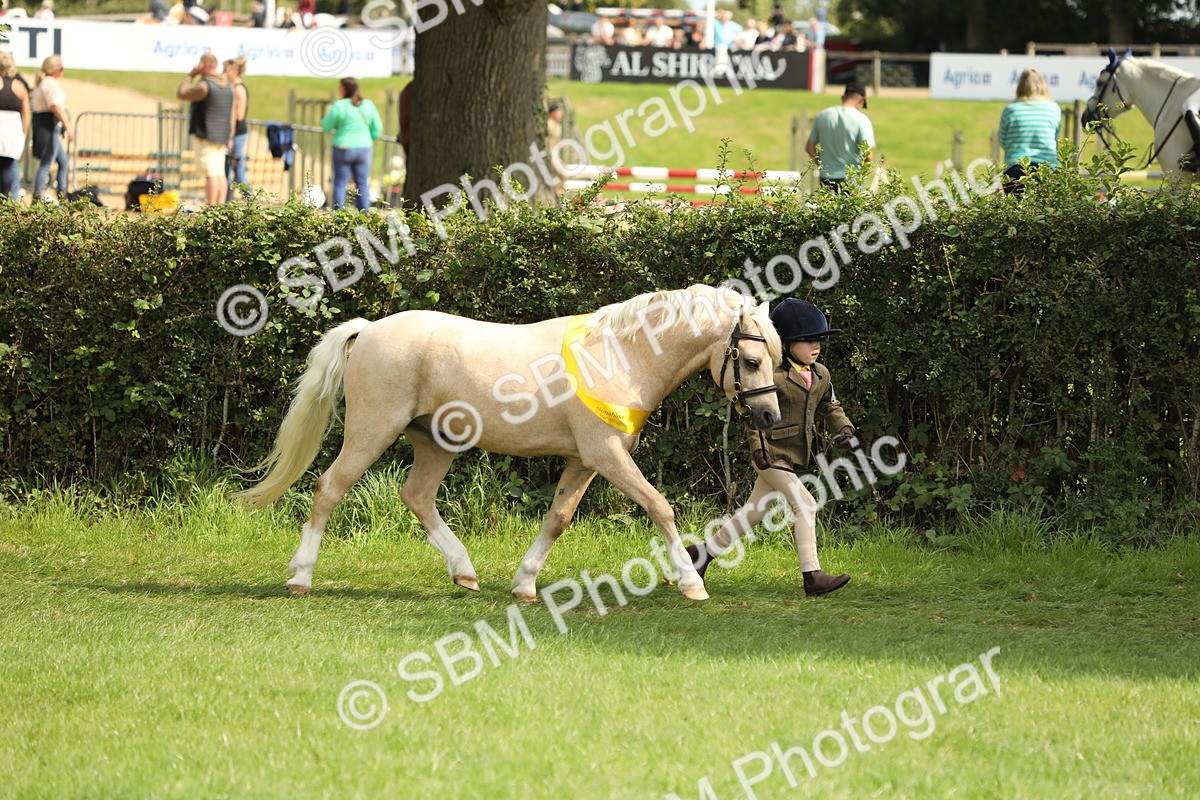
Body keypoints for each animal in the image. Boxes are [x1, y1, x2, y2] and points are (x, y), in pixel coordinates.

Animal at [233, 284, 783, 602]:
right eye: (752, 361)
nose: (770, 416)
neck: (621, 356)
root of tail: (368, 330)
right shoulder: (606, 455)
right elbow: (659, 506)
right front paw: (690, 582)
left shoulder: (583, 461)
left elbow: (558, 518)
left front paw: (524, 585)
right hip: (372, 431)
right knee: (330, 487)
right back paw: (301, 577)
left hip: (436, 442)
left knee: (417, 496)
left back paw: (464, 572)